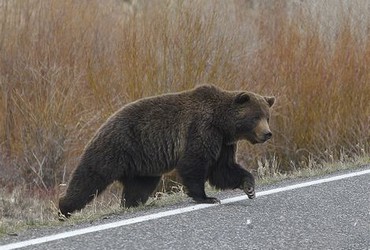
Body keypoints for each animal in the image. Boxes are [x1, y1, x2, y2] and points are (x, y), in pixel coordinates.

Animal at [58, 84, 274, 217]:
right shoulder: (202, 130)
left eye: (267, 116)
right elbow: (194, 163)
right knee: (90, 178)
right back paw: (64, 209)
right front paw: (208, 198)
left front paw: (250, 187)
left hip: (142, 165)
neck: (222, 124)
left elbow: (223, 170)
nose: (267, 133)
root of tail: (104, 122)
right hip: (117, 147)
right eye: (255, 116)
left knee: (138, 187)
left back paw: (131, 204)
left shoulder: (224, 143)